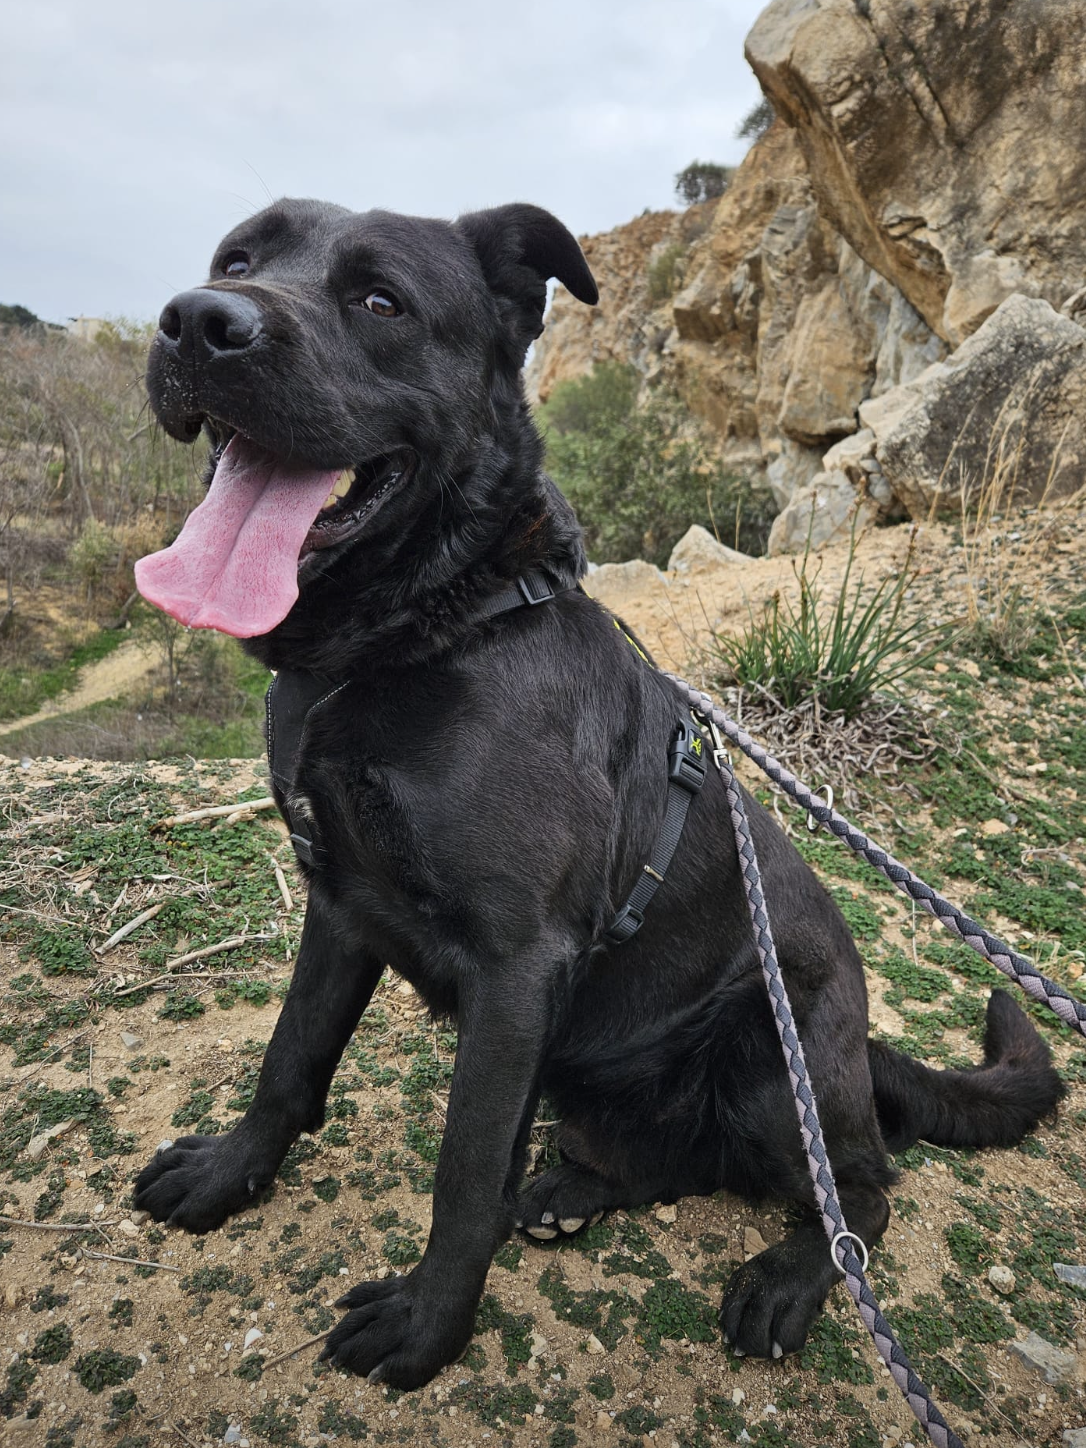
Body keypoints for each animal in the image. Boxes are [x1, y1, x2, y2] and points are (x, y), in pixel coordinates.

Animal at [131, 198, 1065, 1384]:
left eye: (381, 300)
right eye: (238, 258)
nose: (198, 322)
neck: (428, 632)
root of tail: (865, 1053)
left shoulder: (516, 968)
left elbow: (463, 1172)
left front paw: (428, 1325)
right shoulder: (342, 907)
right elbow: (288, 1061)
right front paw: (228, 1173)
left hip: (770, 1058)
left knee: (861, 1191)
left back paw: (788, 1276)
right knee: (668, 1161)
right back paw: (579, 1186)